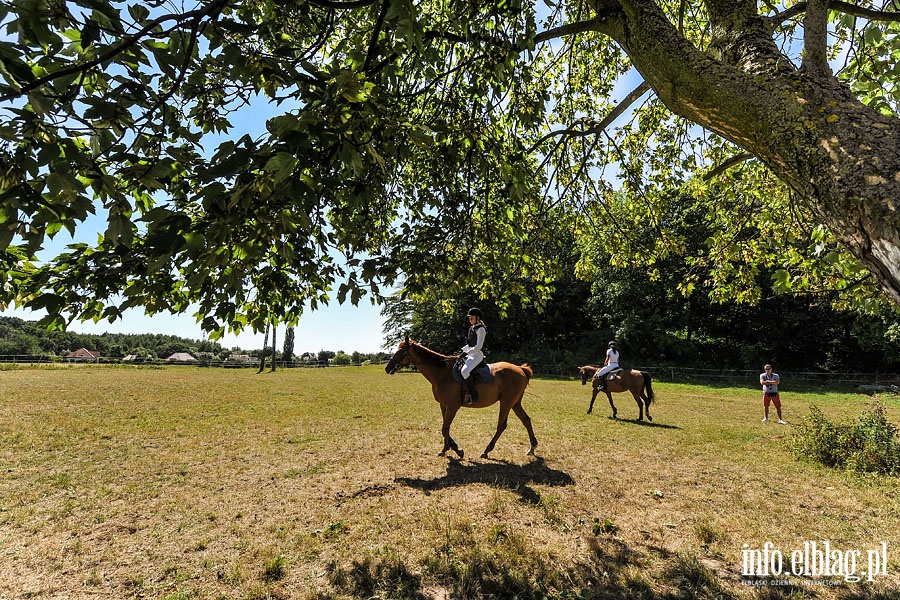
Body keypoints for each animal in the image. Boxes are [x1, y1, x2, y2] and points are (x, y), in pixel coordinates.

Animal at [384, 338, 536, 460]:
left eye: (402, 351)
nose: (387, 368)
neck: (442, 374)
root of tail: (520, 369)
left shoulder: (453, 406)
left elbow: (445, 428)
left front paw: (458, 450)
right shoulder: (443, 405)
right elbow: (445, 427)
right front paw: (445, 449)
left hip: (506, 402)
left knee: (501, 425)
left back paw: (486, 451)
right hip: (515, 403)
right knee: (526, 420)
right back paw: (532, 447)